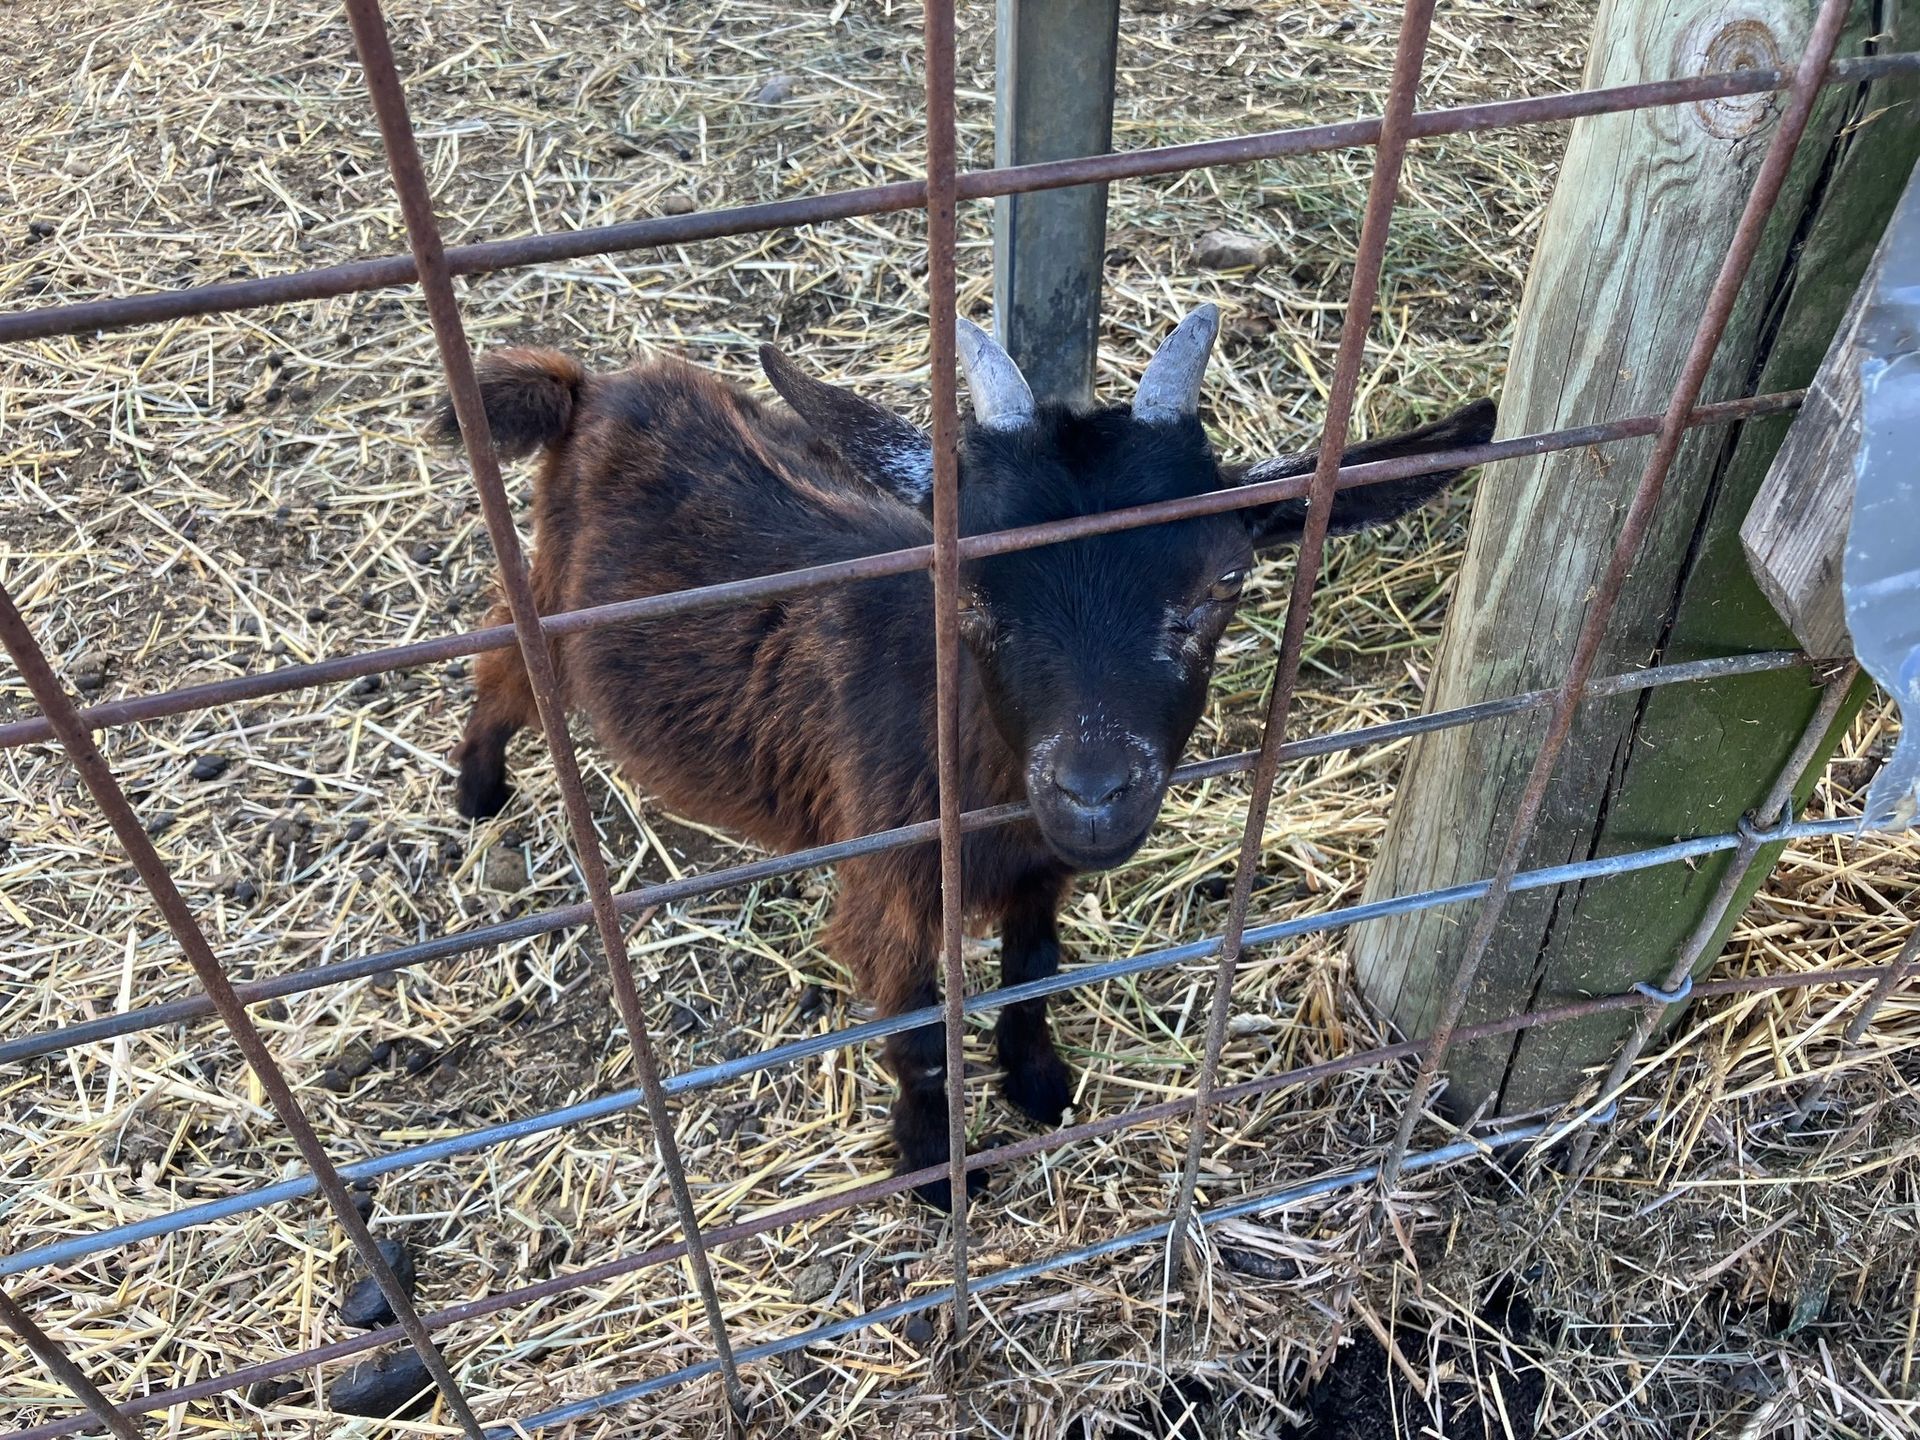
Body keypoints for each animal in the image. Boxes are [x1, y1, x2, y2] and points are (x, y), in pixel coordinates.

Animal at [439, 305, 1495, 1208]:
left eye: (1226, 580)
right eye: (966, 586)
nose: (1092, 791)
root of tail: (591, 390)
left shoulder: (1039, 874)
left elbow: (1033, 968)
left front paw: (1037, 1081)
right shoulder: (888, 888)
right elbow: (915, 1034)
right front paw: (933, 1165)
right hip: (548, 609)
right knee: (500, 671)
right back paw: (478, 791)